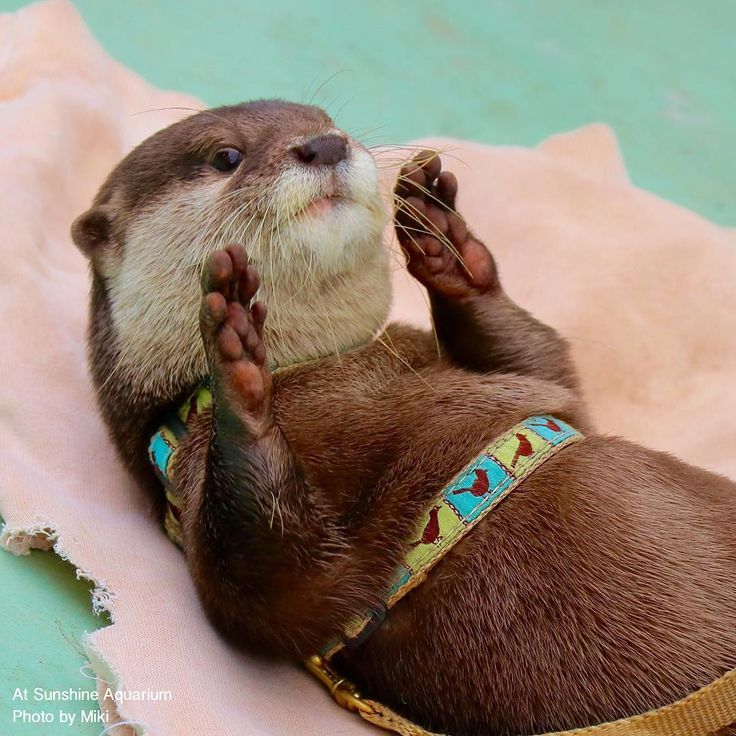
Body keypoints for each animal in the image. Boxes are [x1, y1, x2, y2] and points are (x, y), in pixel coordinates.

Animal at [71, 100, 736, 736]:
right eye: (226, 156)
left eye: (327, 120)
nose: (325, 144)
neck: (324, 365)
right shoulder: (195, 494)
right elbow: (261, 589)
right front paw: (237, 365)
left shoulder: (522, 381)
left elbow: (549, 367)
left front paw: (447, 245)